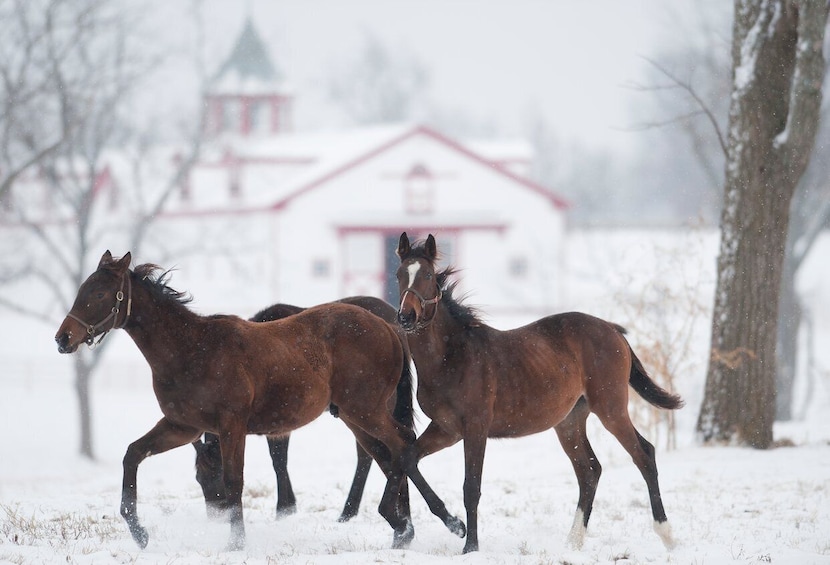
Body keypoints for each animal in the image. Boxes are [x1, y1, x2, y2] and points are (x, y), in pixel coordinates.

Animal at [196, 298, 416, 524]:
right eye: (198, 479)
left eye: (214, 473)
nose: (215, 518)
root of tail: (393, 329)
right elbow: (278, 459)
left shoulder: (278, 418)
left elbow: (278, 460)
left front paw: (284, 508)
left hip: (370, 408)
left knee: (370, 454)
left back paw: (350, 510)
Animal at [394, 231, 684, 552]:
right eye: (399, 275)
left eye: (428, 275)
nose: (406, 317)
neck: (451, 357)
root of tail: (612, 329)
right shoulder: (446, 429)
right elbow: (407, 459)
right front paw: (455, 525)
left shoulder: (475, 428)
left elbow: (472, 487)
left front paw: (470, 547)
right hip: (569, 422)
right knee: (589, 470)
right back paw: (573, 542)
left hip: (610, 408)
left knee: (644, 455)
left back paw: (667, 535)